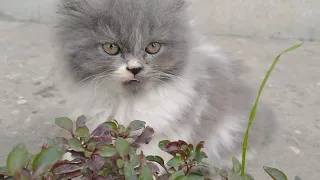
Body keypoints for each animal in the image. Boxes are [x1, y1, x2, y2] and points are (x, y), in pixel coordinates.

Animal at [53, 0, 276, 176]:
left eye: (153, 47)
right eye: (111, 48)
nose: (135, 68)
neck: (129, 102)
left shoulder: (165, 133)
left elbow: (147, 159)